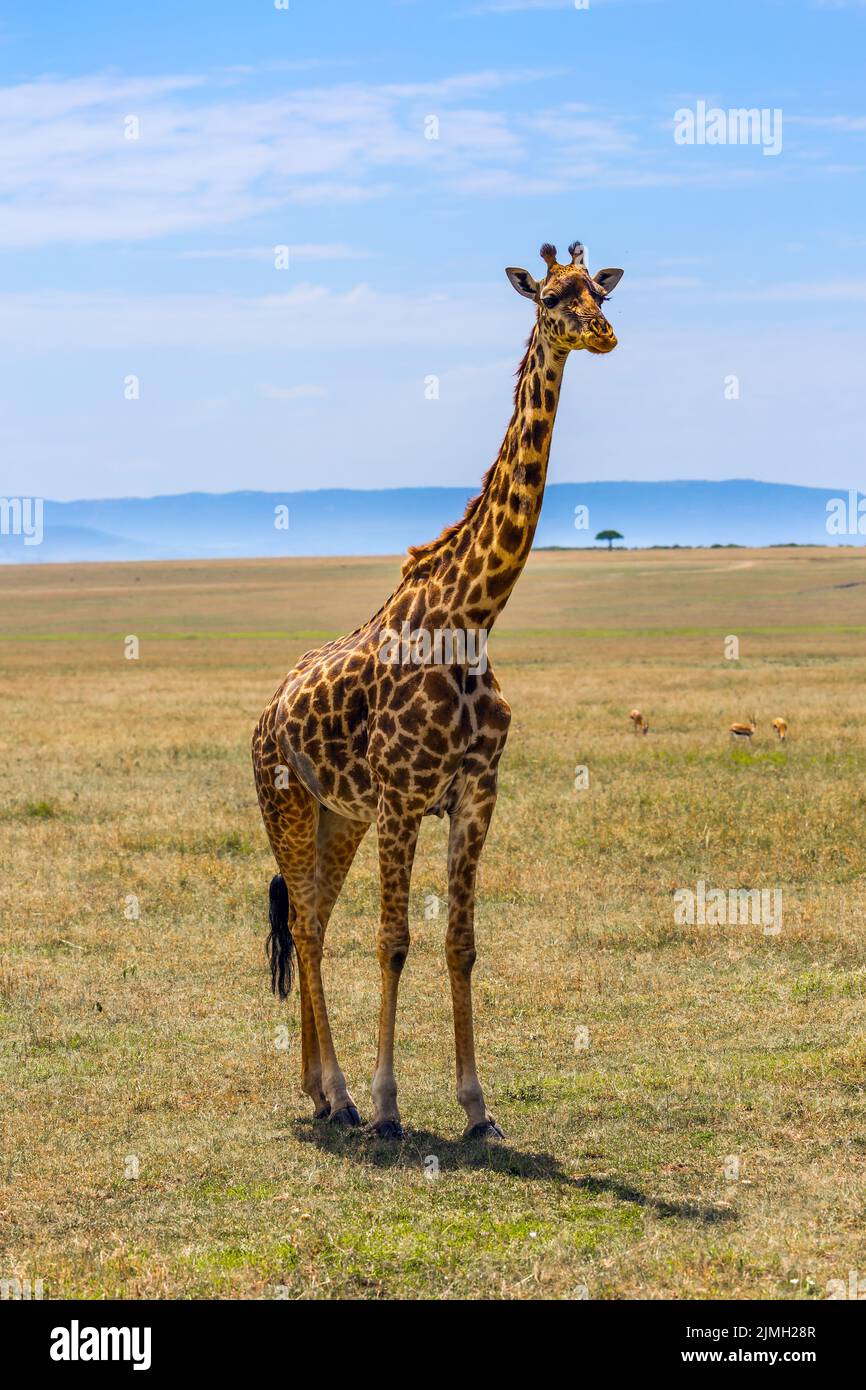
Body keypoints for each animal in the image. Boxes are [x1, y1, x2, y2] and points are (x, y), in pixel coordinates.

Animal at [252, 240, 624, 1139]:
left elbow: (460, 943)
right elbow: (393, 941)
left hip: (338, 816)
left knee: (314, 919)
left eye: (601, 292)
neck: (473, 615)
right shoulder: (401, 797)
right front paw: (390, 1104)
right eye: (554, 297)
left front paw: (478, 1107)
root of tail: (264, 714)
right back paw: (344, 1095)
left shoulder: (475, 795)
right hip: (287, 802)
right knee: (308, 926)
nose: (603, 335)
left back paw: (321, 1091)